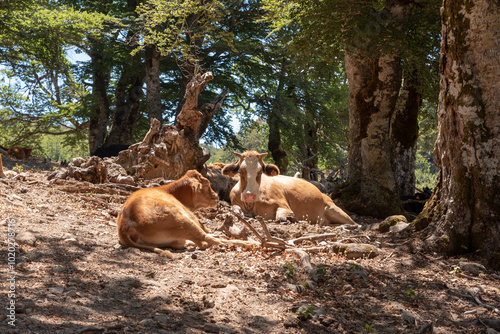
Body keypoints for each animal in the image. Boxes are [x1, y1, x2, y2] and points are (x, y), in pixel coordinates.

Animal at [117, 170, 254, 258]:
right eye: (207, 184)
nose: (216, 195)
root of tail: (125, 224)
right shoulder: (191, 215)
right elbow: (206, 230)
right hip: (181, 219)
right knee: (209, 240)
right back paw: (250, 243)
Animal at [222, 151, 356, 227]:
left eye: (260, 172)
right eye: (240, 171)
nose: (249, 195)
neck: (251, 204)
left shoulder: (283, 205)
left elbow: (281, 215)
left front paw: (289, 218)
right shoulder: (235, 202)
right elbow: (235, 209)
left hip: (335, 210)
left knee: (354, 223)